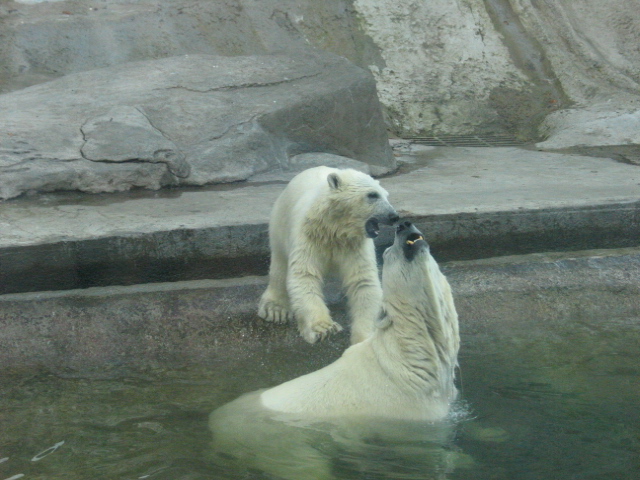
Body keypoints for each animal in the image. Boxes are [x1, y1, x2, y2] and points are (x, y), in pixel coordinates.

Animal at [210, 222, 464, 480]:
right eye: (387, 253)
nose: (403, 225)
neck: (411, 355)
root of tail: (217, 426)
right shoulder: (412, 413)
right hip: (277, 443)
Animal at [258, 167, 398, 344]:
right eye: (373, 195)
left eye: (386, 195)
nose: (394, 216)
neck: (335, 228)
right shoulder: (309, 235)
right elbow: (305, 275)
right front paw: (324, 329)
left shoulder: (354, 244)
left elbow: (363, 281)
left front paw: (364, 339)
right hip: (280, 222)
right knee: (280, 263)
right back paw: (275, 309)